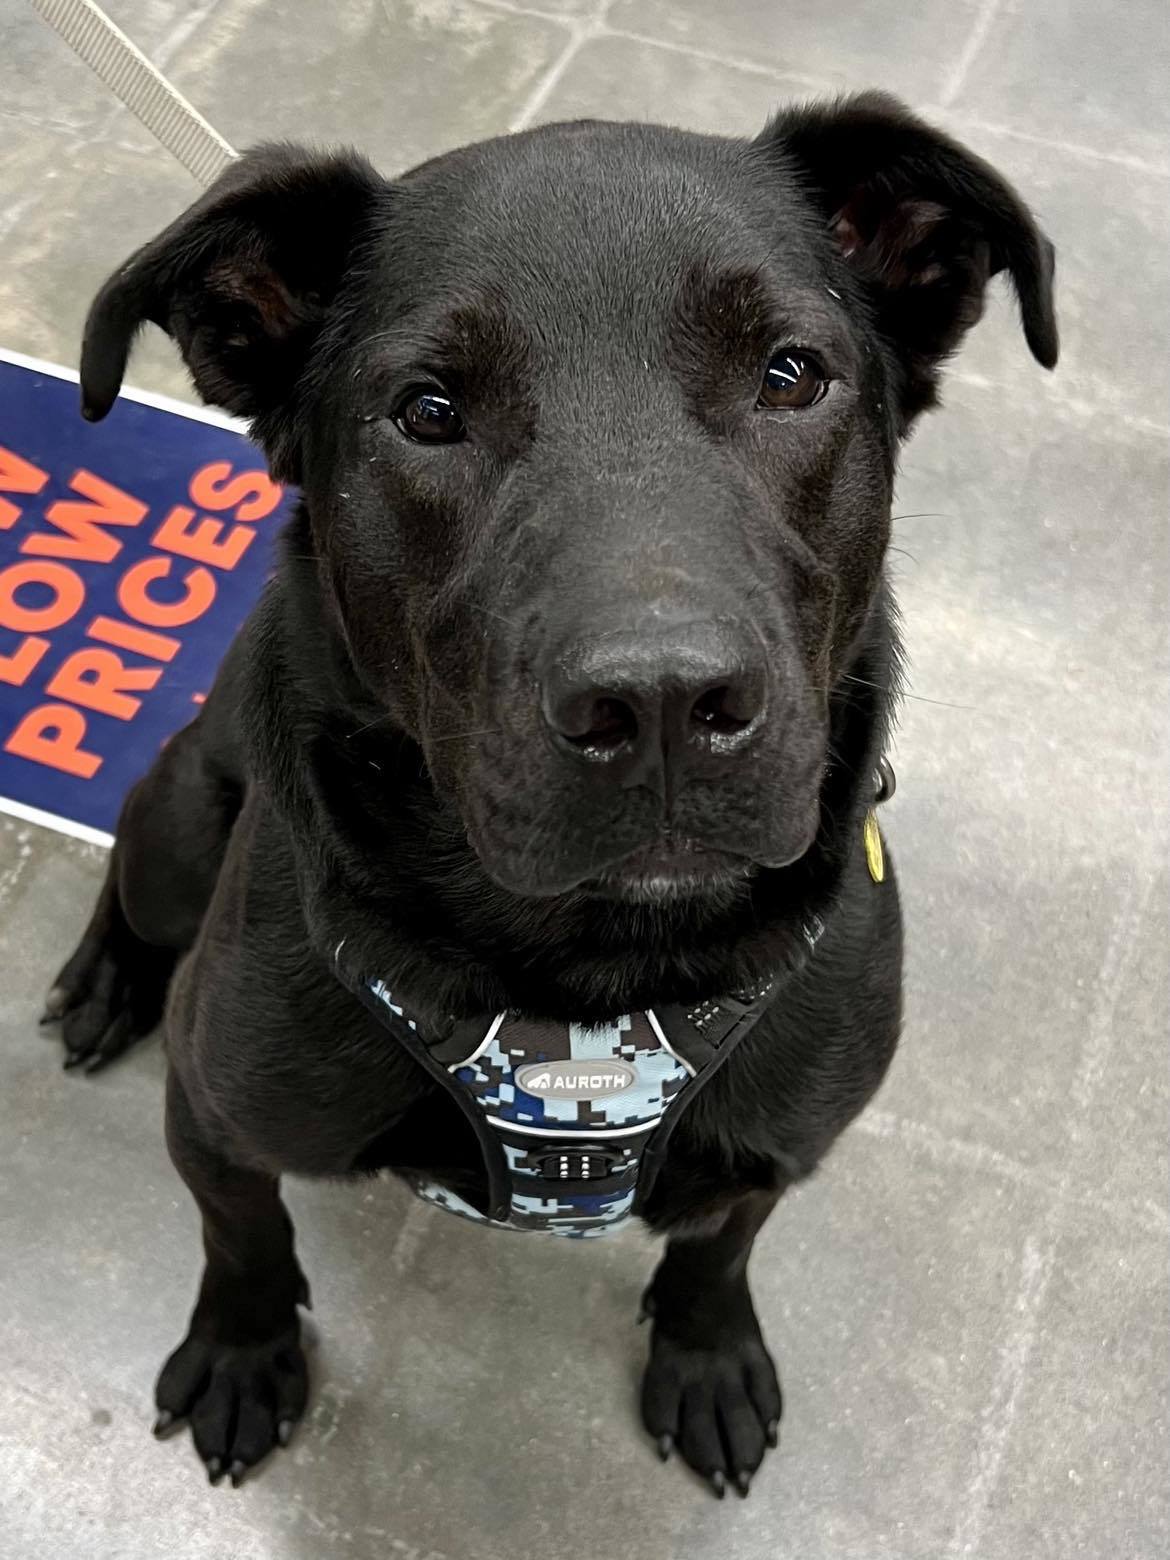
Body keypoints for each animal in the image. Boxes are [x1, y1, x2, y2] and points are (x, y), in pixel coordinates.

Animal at [45, 94, 1060, 1497]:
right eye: (427, 410)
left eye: (790, 374)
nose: (663, 706)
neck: (594, 976)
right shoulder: (214, 1109)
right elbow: (240, 1236)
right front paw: (246, 1352)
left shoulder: (777, 1145)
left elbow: (722, 1245)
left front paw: (708, 1352)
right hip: (184, 818)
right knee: (134, 874)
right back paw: (105, 978)